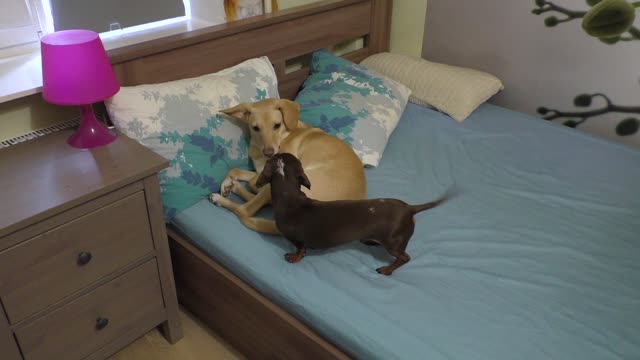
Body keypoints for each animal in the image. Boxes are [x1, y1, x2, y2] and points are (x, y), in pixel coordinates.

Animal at [208, 98, 362, 235]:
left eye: (277, 125)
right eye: (255, 128)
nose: (269, 152)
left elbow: (251, 182)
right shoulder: (260, 170)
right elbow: (235, 170)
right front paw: (226, 184)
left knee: (244, 210)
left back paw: (221, 197)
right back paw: (234, 187)